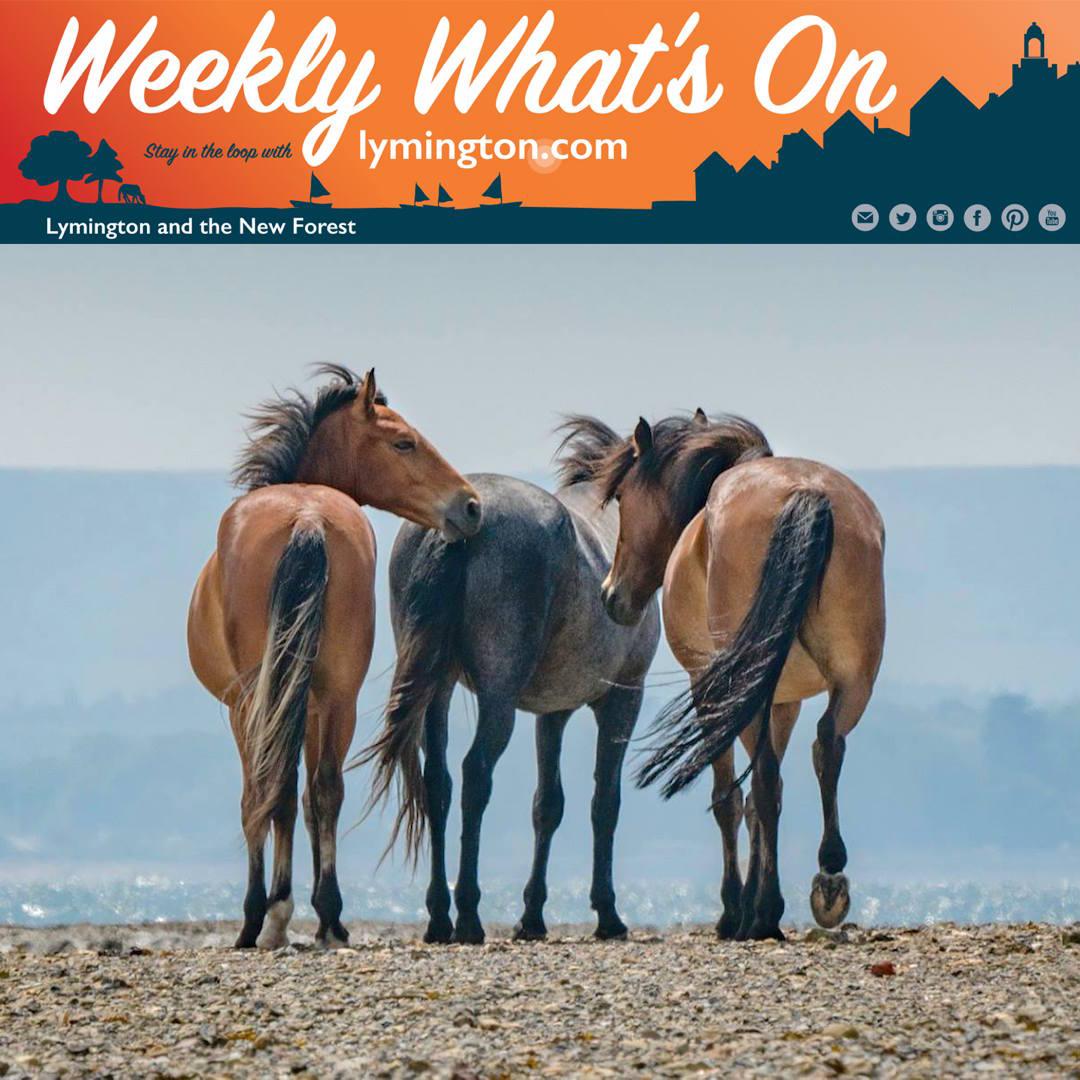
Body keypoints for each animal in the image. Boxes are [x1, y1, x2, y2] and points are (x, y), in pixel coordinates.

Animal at [187, 365, 482, 950]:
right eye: (403, 441)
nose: (470, 506)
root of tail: (307, 517)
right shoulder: (312, 704)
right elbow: (308, 796)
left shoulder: (249, 706)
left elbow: (265, 796)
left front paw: (266, 914)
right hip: (336, 695)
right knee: (324, 788)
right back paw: (329, 919)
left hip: (259, 700)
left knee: (269, 789)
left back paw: (267, 916)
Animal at [362, 418, 660, 945]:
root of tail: (459, 528)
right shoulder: (623, 699)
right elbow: (605, 802)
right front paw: (607, 913)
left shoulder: (553, 712)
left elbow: (548, 805)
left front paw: (532, 915)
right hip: (497, 698)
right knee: (475, 774)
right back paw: (469, 915)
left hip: (436, 687)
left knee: (438, 781)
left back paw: (440, 916)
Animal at [587, 411, 885, 942]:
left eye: (621, 497)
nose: (611, 595)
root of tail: (806, 494)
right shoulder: (784, 699)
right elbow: (769, 797)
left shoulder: (710, 688)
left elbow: (730, 797)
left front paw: (736, 909)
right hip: (853, 681)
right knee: (826, 745)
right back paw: (829, 877)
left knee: (762, 777)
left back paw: (763, 910)